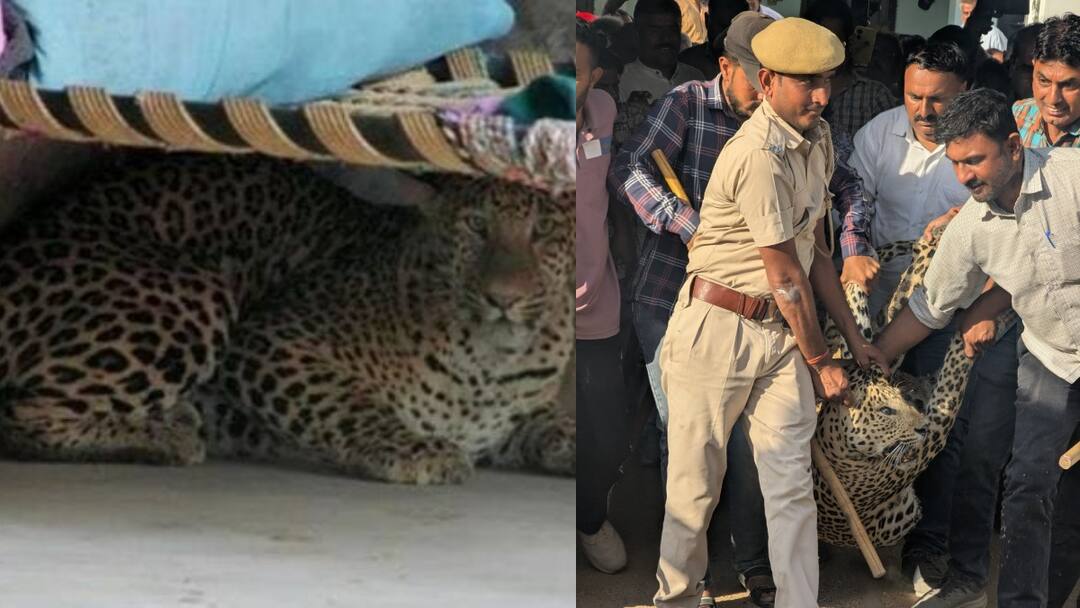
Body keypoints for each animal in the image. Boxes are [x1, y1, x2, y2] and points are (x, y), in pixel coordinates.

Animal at [0, 152, 574, 485]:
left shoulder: (511, 422)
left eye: (544, 231)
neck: (490, 368)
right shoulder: (274, 340)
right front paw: (417, 450)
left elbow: (555, 426)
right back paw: (165, 434)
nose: (503, 297)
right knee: (22, 418)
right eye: (476, 226)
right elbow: (350, 403)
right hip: (194, 290)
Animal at [815, 230, 1015, 546]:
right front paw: (975, 329)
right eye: (885, 412)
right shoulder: (933, 437)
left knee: (894, 301)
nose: (921, 425)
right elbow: (956, 362)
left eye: (901, 400)